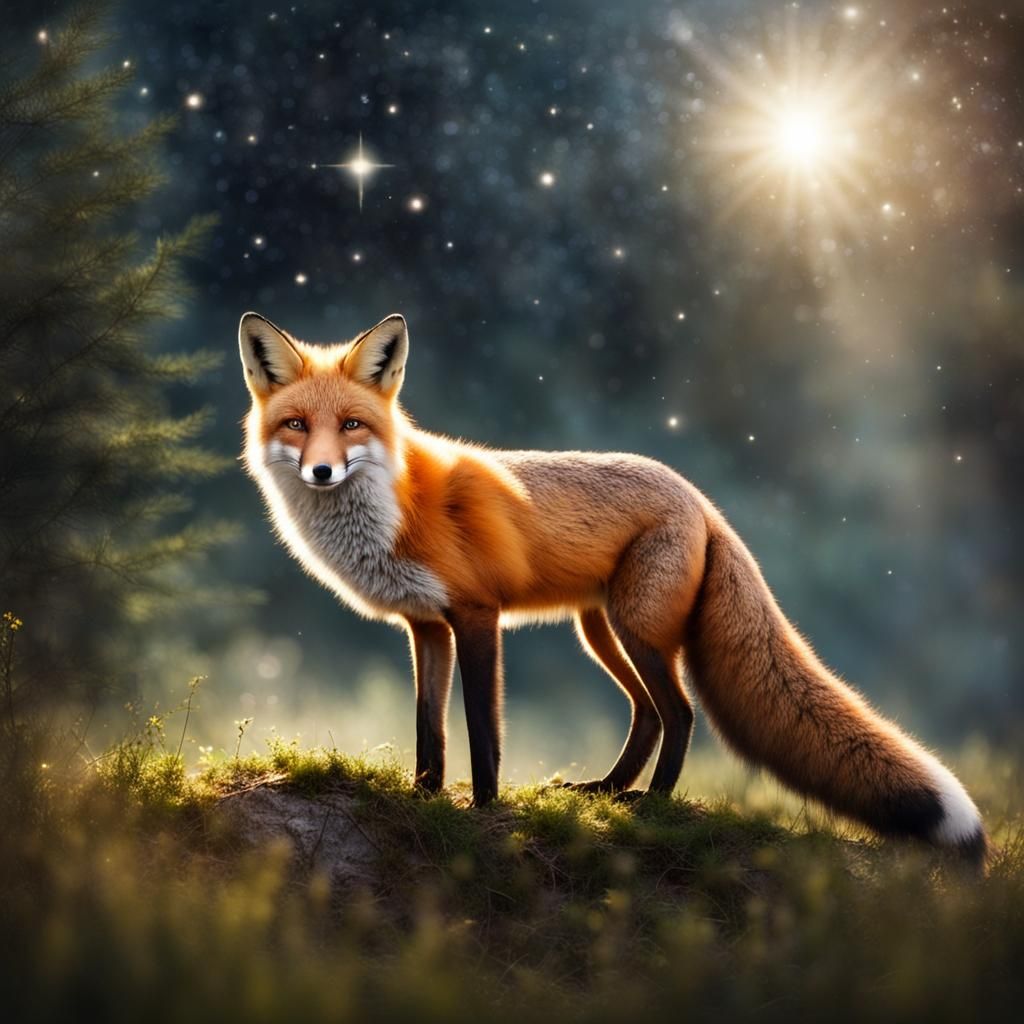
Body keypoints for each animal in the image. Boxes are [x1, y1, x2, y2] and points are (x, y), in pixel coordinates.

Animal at [238, 310, 988, 867]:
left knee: (679, 713)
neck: (396, 508)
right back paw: (607, 789)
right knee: (648, 714)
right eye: (297, 426)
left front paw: (483, 809)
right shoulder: (426, 626)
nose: (323, 472)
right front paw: (423, 799)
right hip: (600, 630)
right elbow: (430, 728)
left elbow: (482, 728)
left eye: (352, 425)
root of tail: (702, 501)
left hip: (637, 629)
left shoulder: (477, 615)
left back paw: (653, 804)